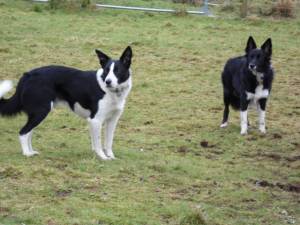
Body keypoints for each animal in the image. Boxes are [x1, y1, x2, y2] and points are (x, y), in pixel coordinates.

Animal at [0, 45, 132, 159]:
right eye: (106, 71)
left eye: (117, 71)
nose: (108, 81)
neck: (111, 92)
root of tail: (27, 75)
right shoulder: (95, 120)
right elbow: (98, 143)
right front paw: (103, 157)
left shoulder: (112, 120)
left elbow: (108, 142)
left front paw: (111, 156)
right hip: (41, 111)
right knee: (23, 132)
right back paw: (27, 154)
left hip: (36, 113)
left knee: (29, 132)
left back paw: (31, 151)